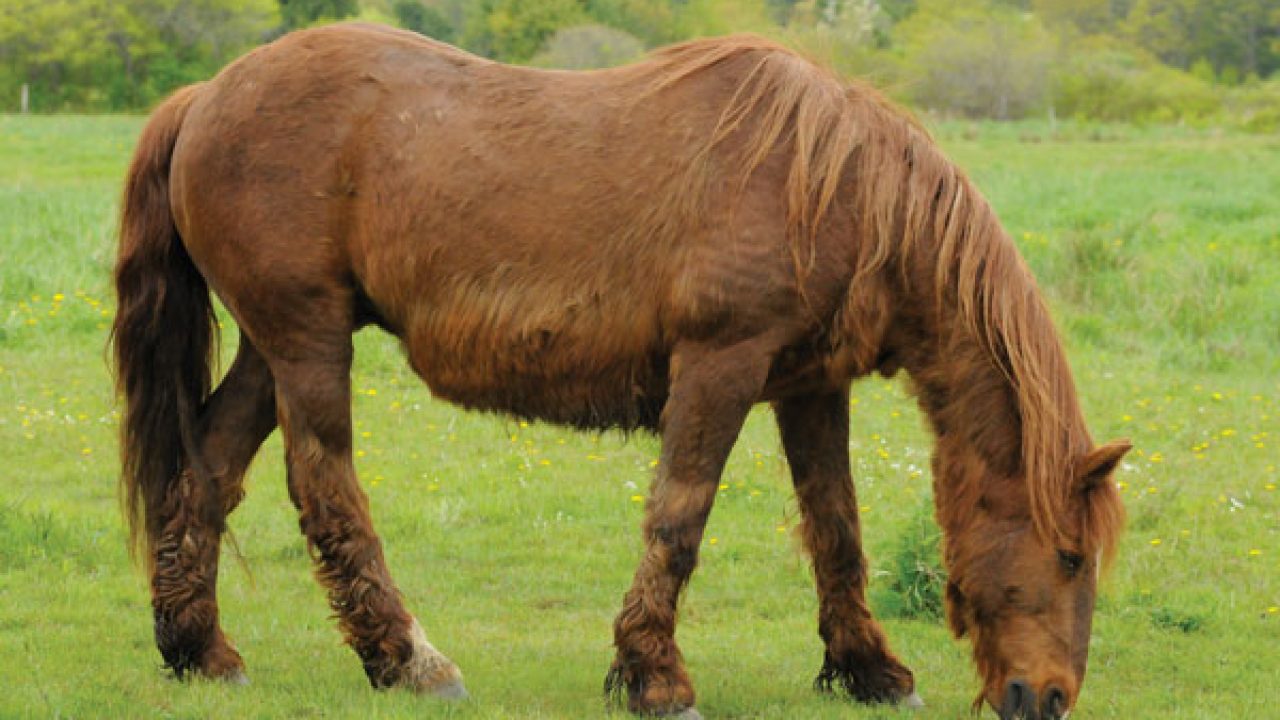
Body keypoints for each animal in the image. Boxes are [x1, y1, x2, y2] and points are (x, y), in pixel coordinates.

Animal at [111, 23, 1128, 720]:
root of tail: (206, 95)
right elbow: (680, 519)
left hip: (271, 347)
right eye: (1069, 555)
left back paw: (199, 650)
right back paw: (407, 661)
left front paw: (868, 669)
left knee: (207, 473)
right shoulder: (721, 365)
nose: (1047, 697)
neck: (831, 187)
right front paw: (654, 676)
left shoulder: (808, 386)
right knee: (324, 489)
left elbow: (836, 527)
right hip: (309, 344)